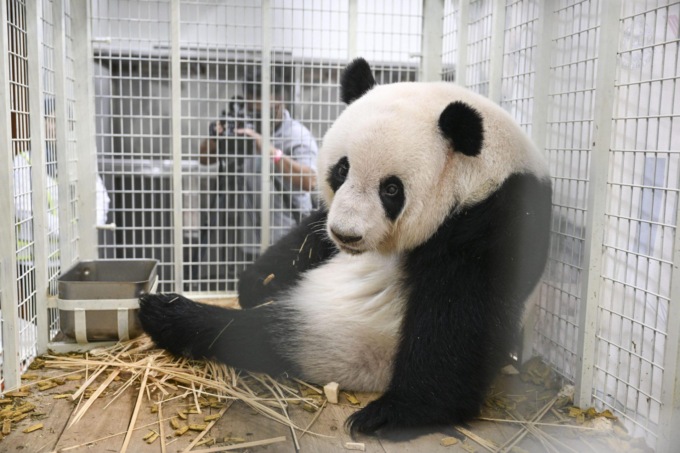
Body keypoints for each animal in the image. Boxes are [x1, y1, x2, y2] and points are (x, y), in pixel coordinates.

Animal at [138, 58, 552, 435]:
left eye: (391, 189)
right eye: (342, 169)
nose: (346, 235)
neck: (478, 174)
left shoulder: (495, 221)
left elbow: (457, 320)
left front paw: (397, 412)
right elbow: (307, 238)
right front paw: (256, 281)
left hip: (346, 340)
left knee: (253, 336)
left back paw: (172, 314)